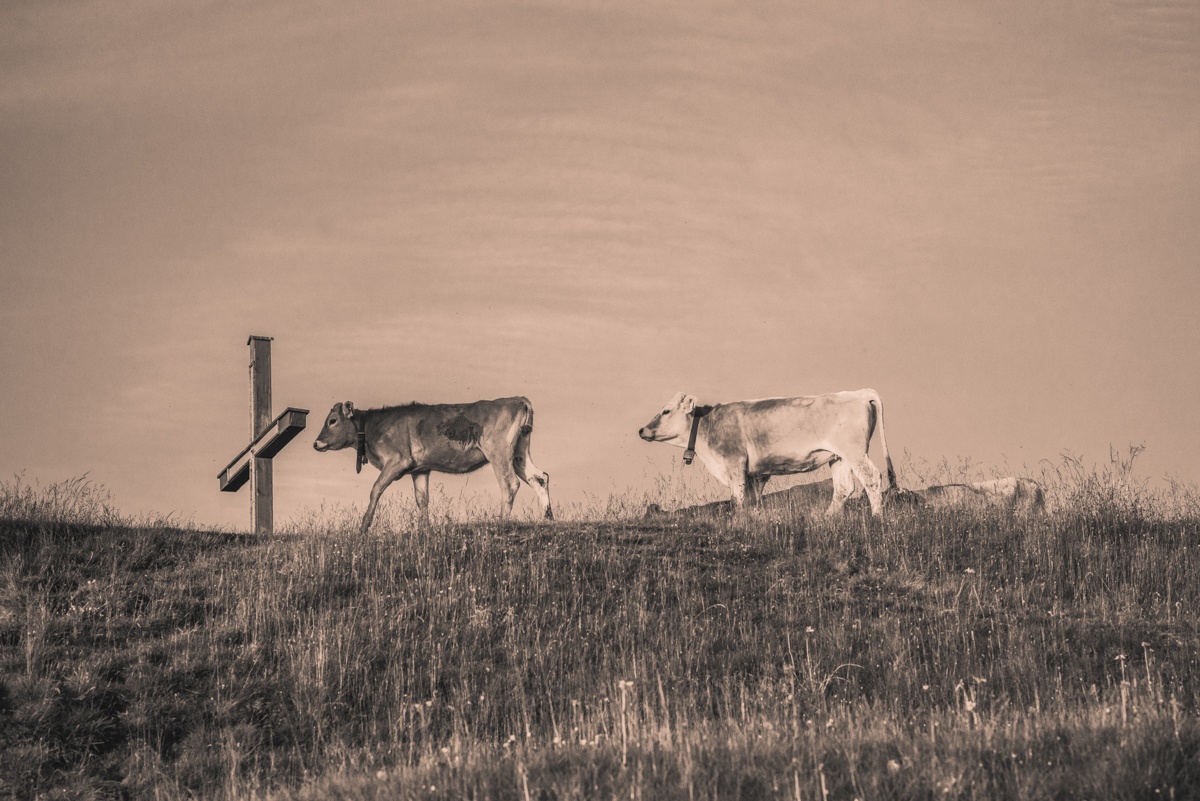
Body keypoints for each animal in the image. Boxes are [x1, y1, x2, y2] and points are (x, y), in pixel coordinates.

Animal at [313, 397, 552, 532]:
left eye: (332, 420)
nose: (316, 443)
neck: (375, 427)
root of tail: (517, 399)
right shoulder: (420, 469)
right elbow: (422, 499)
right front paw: (425, 529)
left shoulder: (397, 460)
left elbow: (376, 489)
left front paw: (363, 527)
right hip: (519, 453)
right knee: (539, 477)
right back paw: (548, 518)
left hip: (498, 451)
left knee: (509, 483)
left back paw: (501, 522)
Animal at [638, 389, 896, 516]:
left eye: (666, 411)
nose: (642, 430)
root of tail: (859, 392)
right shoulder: (756, 473)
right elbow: (753, 499)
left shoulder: (734, 464)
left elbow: (738, 499)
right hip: (838, 456)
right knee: (843, 488)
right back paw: (827, 518)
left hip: (854, 452)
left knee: (871, 478)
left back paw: (877, 517)